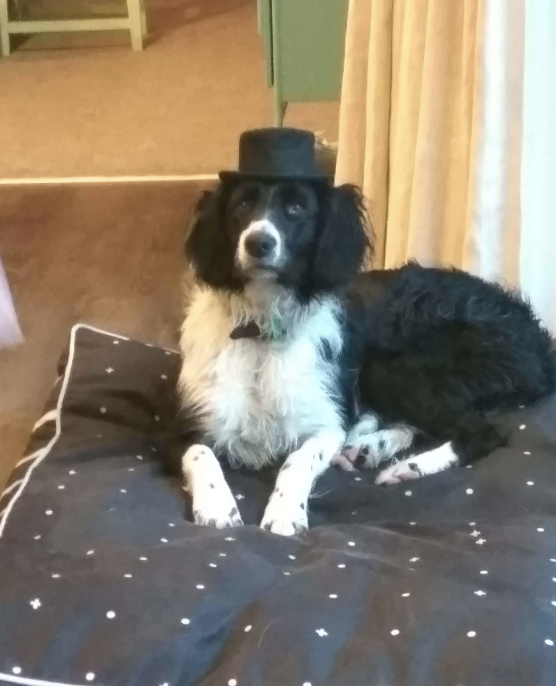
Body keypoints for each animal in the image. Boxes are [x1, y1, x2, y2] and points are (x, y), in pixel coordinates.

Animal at [174, 129, 556, 536]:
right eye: (243, 204)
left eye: (296, 209)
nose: (258, 243)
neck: (262, 323)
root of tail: (539, 338)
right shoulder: (185, 425)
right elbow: (201, 454)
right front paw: (217, 507)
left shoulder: (326, 423)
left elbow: (298, 460)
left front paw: (285, 513)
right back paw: (370, 448)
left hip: (394, 367)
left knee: (483, 432)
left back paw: (404, 466)